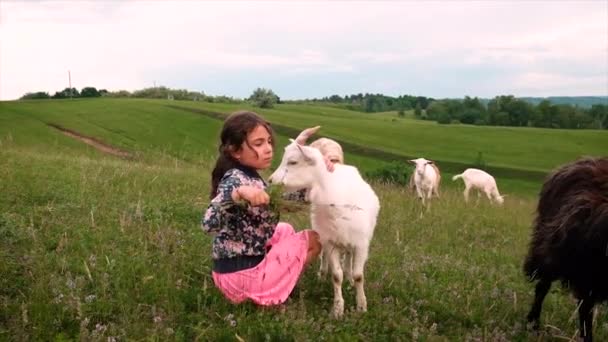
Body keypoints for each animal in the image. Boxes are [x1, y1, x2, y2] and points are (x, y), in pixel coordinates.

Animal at [268, 136, 378, 318]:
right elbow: (336, 276)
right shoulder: (331, 242)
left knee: (349, 257)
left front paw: (361, 305)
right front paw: (338, 309)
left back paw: (348, 279)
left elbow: (358, 276)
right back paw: (322, 274)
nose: (270, 181)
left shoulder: (361, 244)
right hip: (326, 237)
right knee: (326, 257)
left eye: (293, 162)